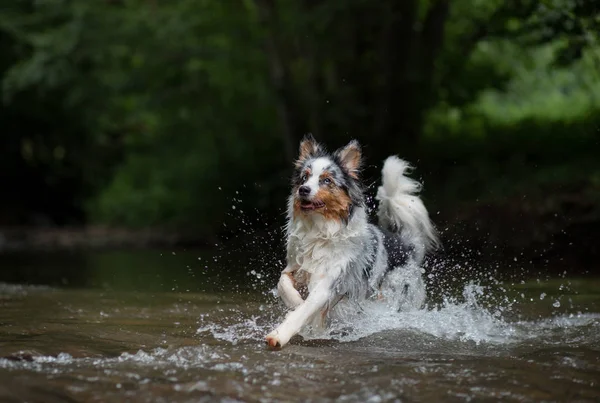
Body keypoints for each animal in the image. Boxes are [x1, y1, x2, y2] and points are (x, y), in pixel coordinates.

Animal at [264, 134, 438, 348]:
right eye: (304, 177)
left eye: (326, 180)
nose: (303, 190)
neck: (320, 230)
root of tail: (406, 246)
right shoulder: (295, 266)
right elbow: (283, 284)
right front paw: (296, 302)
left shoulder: (329, 281)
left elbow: (306, 308)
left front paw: (279, 334)